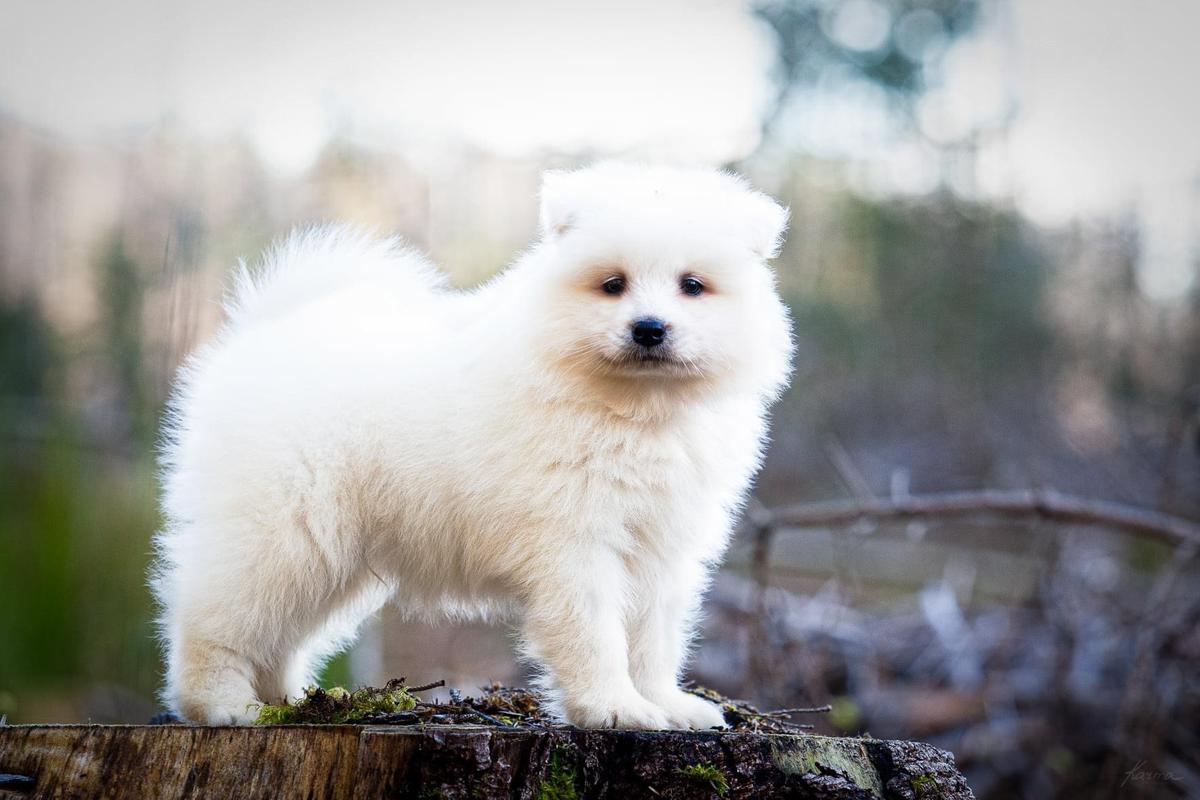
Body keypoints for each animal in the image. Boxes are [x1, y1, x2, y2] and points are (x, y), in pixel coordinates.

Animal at [157, 164, 796, 734]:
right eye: (613, 284)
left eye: (692, 286)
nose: (649, 328)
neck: (635, 408)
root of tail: (260, 332)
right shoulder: (575, 541)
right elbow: (595, 633)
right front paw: (614, 708)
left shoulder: (662, 545)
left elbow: (653, 638)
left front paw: (668, 705)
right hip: (282, 529)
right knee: (213, 614)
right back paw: (222, 704)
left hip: (329, 552)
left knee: (281, 630)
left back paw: (286, 702)